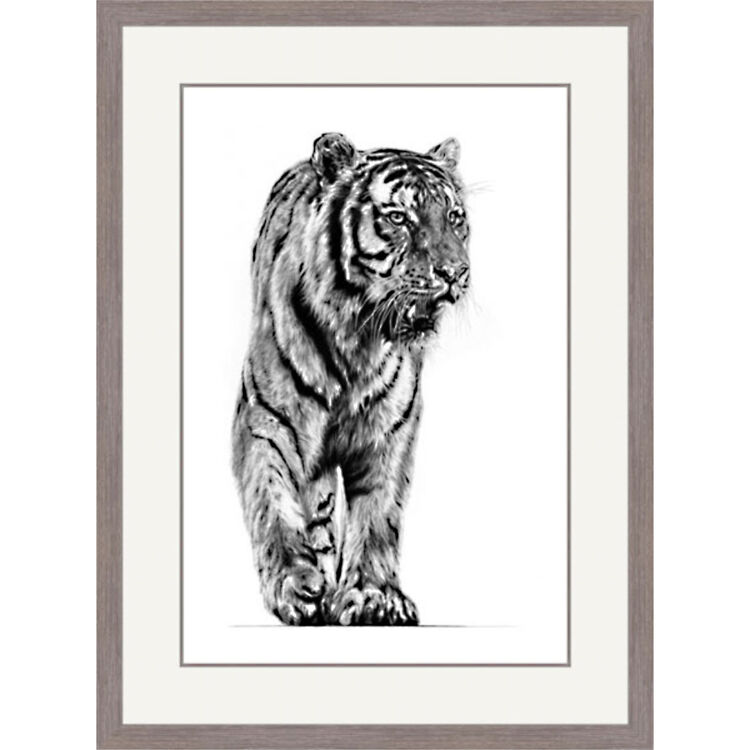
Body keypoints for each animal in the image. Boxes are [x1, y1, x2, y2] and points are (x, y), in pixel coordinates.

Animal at [231, 133, 470, 625]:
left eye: (454, 218)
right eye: (398, 218)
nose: (455, 273)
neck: (357, 342)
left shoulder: (391, 432)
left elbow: (378, 515)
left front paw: (372, 596)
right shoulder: (265, 420)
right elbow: (273, 501)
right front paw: (294, 585)